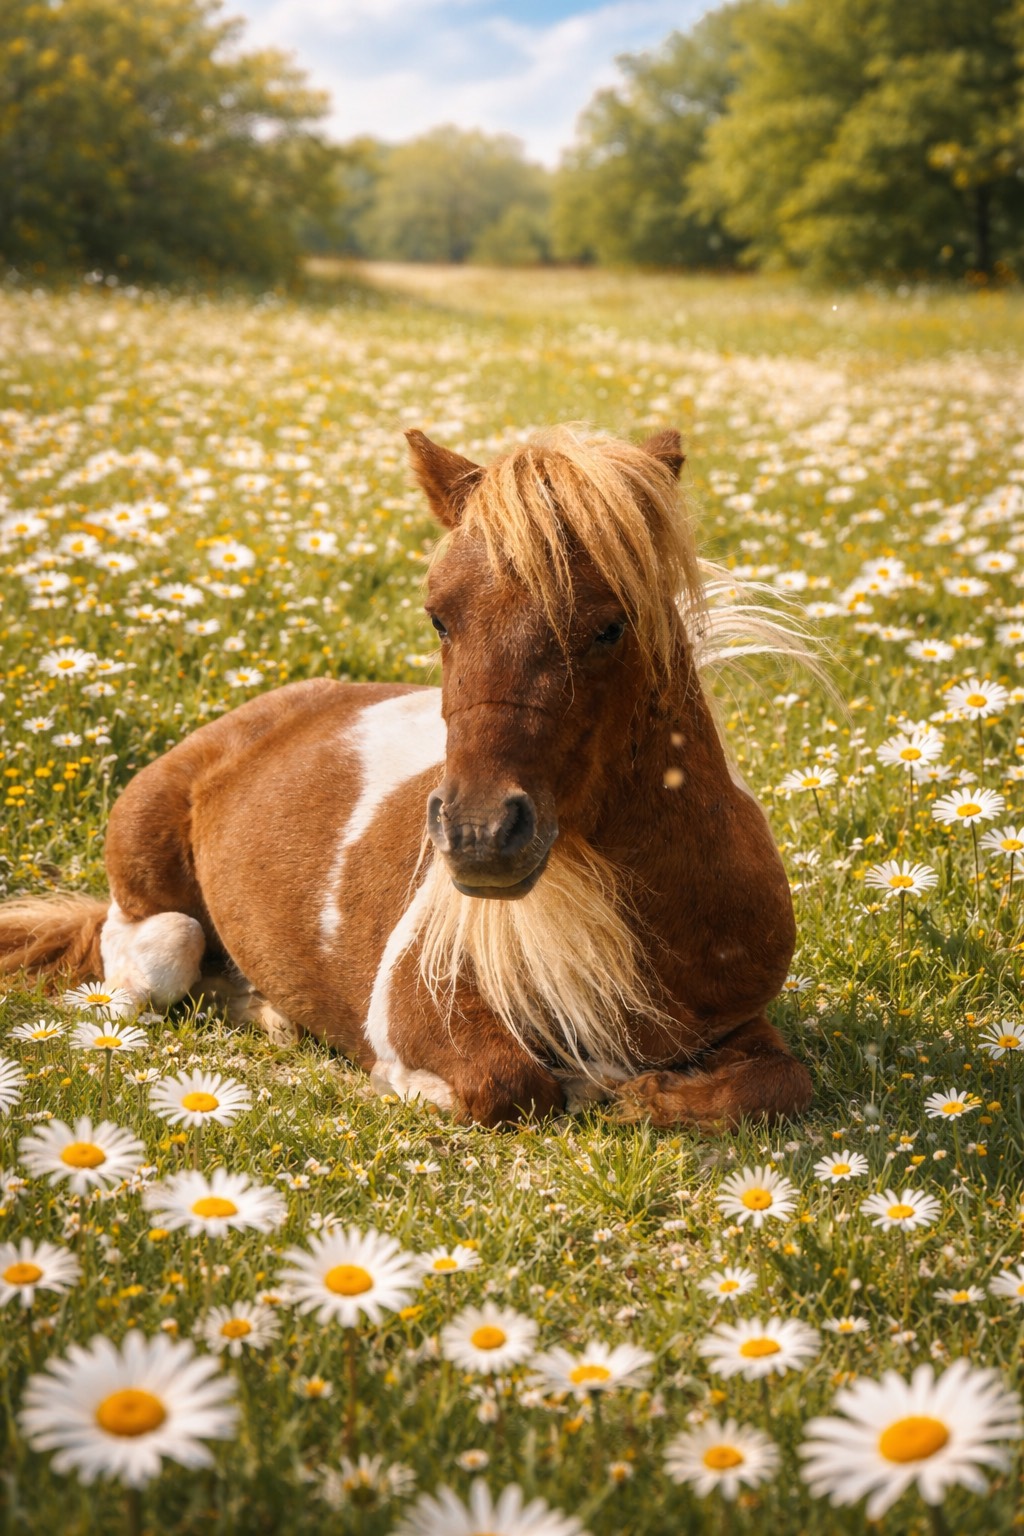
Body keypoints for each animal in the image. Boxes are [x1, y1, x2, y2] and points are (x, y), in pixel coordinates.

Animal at [0, 425, 813, 1129]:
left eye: (611, 626)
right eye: (438, 619)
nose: (480, 836)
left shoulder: (738, 1023)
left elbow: (776, 1083)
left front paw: (638, 1092)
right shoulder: (421, 1000)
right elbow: (511, 1084)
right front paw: (410, 1083)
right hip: (151, 929)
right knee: (162, 949)